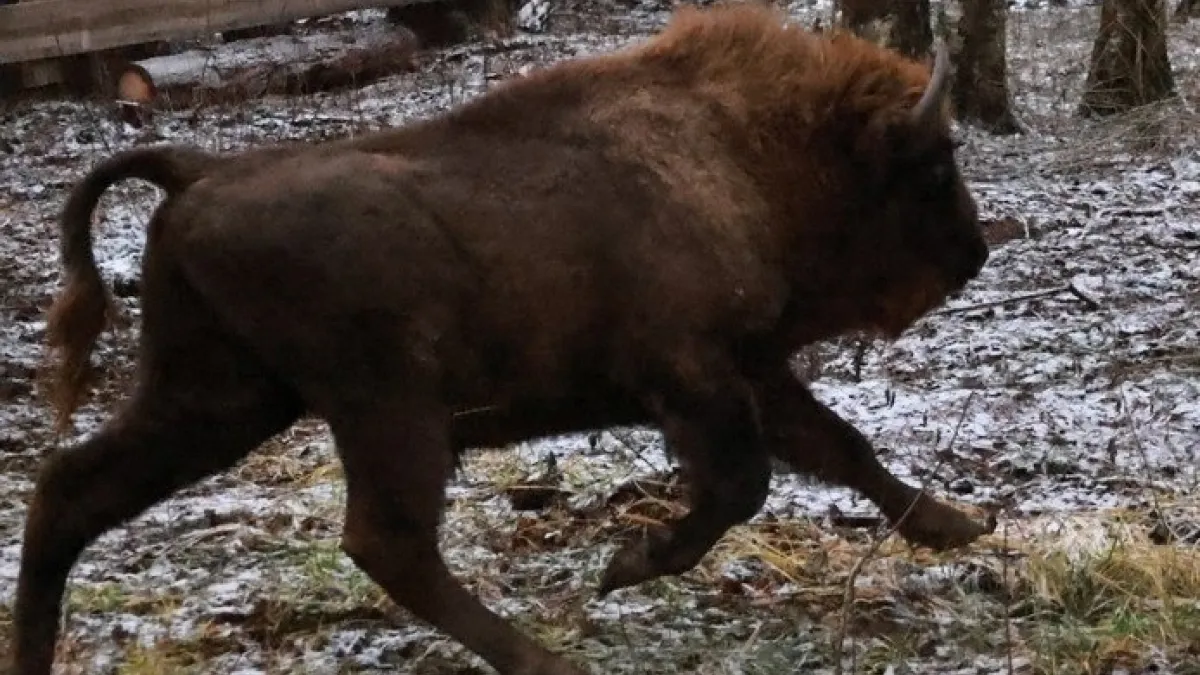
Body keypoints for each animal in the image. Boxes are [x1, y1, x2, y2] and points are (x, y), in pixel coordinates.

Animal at [11, 2, 993, 667]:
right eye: (934, 168)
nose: (975, 254)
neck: (737, 148)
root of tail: (198, 172)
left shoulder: (755, 369)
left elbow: (842, 446)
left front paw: (957, 526)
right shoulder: (695, 376)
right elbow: (740, 486)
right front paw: (626, 565)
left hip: (218, 401)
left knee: (71, 489)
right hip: (385, 409)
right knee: (387, 540)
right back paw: (544, 660)